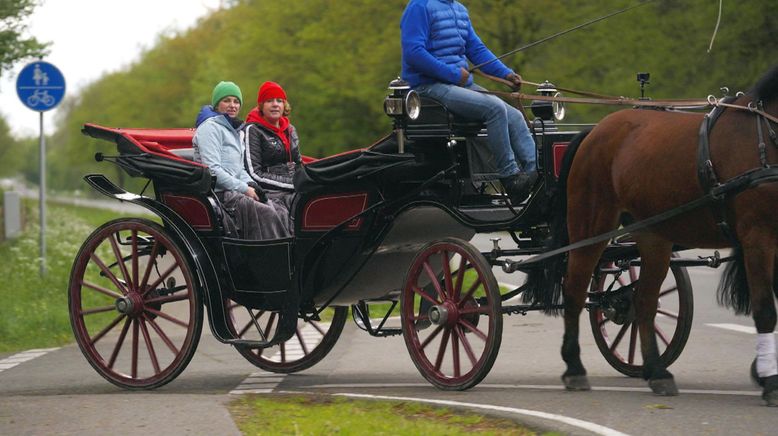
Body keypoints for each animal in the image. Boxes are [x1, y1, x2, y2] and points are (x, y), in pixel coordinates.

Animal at [528, 64, 776, 406]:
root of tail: (595, 130)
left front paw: (763, 371)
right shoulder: (758, 238)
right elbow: (765, 309)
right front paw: (769, 380)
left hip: (652, 236)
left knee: (643, 301)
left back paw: (656, 372)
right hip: (592, 226)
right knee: (575, 290)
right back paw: (575, 367)